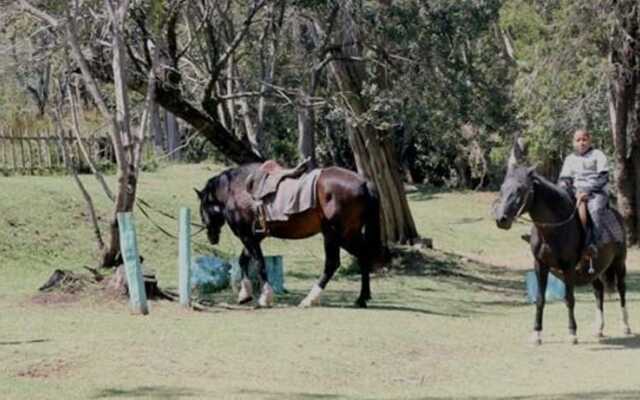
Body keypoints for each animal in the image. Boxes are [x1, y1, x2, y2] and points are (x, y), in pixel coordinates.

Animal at [195, 162, 384, 310]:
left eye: (202, 208)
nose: (211, 236)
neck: (237, 189)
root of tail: (364, 183)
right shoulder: (255, 236)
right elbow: (244, 260)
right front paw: (245, 294)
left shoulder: (247, 237)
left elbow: (259, 263)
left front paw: (265, 297)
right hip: (347, 235)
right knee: (363, 255)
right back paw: (361, 298)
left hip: (335, 235)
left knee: (332, 264)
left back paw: (310, 299)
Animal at [496, 141, 632, 344]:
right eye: (503, 187)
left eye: (520, 189)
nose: (501, 219)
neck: (553, 230)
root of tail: (617, 216)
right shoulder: (540, 265)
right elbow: (540, 299)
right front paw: (536, 334)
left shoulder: (568, 267)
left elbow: (569, 298)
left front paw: (572, 332)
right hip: (596, 268)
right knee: (599, 291)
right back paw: (599, 328)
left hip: (619, 262)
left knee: (622, 289)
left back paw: (625, 326)